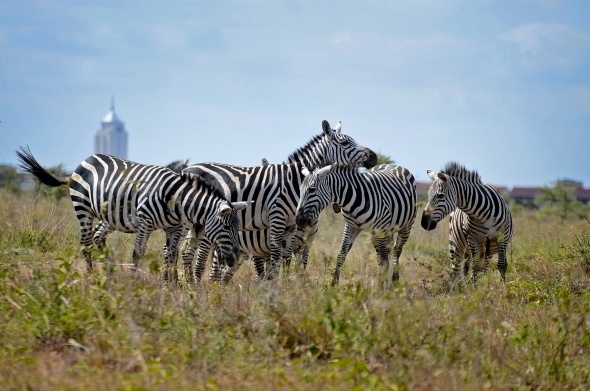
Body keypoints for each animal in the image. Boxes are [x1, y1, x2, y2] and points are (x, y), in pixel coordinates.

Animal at [16, 147, 247, 282]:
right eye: (227, 226)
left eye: (238, 227)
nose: (235, 256)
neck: (176, 200)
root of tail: (87, 159)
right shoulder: (145, 222)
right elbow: (138, 252)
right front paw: (134, 280)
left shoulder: (175, 227)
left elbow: (171, 255)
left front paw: (170, 285)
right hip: (83, 207)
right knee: (85, 244)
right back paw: (92, 276)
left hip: (108, 216)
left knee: (97, 237)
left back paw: (109, 270)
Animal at [183, 121, 380, 284]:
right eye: (345, 143)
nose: (374, 156)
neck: (294, 180)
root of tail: (188, 168)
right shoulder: (276, 219)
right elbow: (276, 257)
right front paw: (274, 289)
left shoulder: (291, 227)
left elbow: (286, 259)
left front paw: (286, 289)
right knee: (200, 258)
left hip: (198, 224)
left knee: (188, 252)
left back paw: (189, 287)